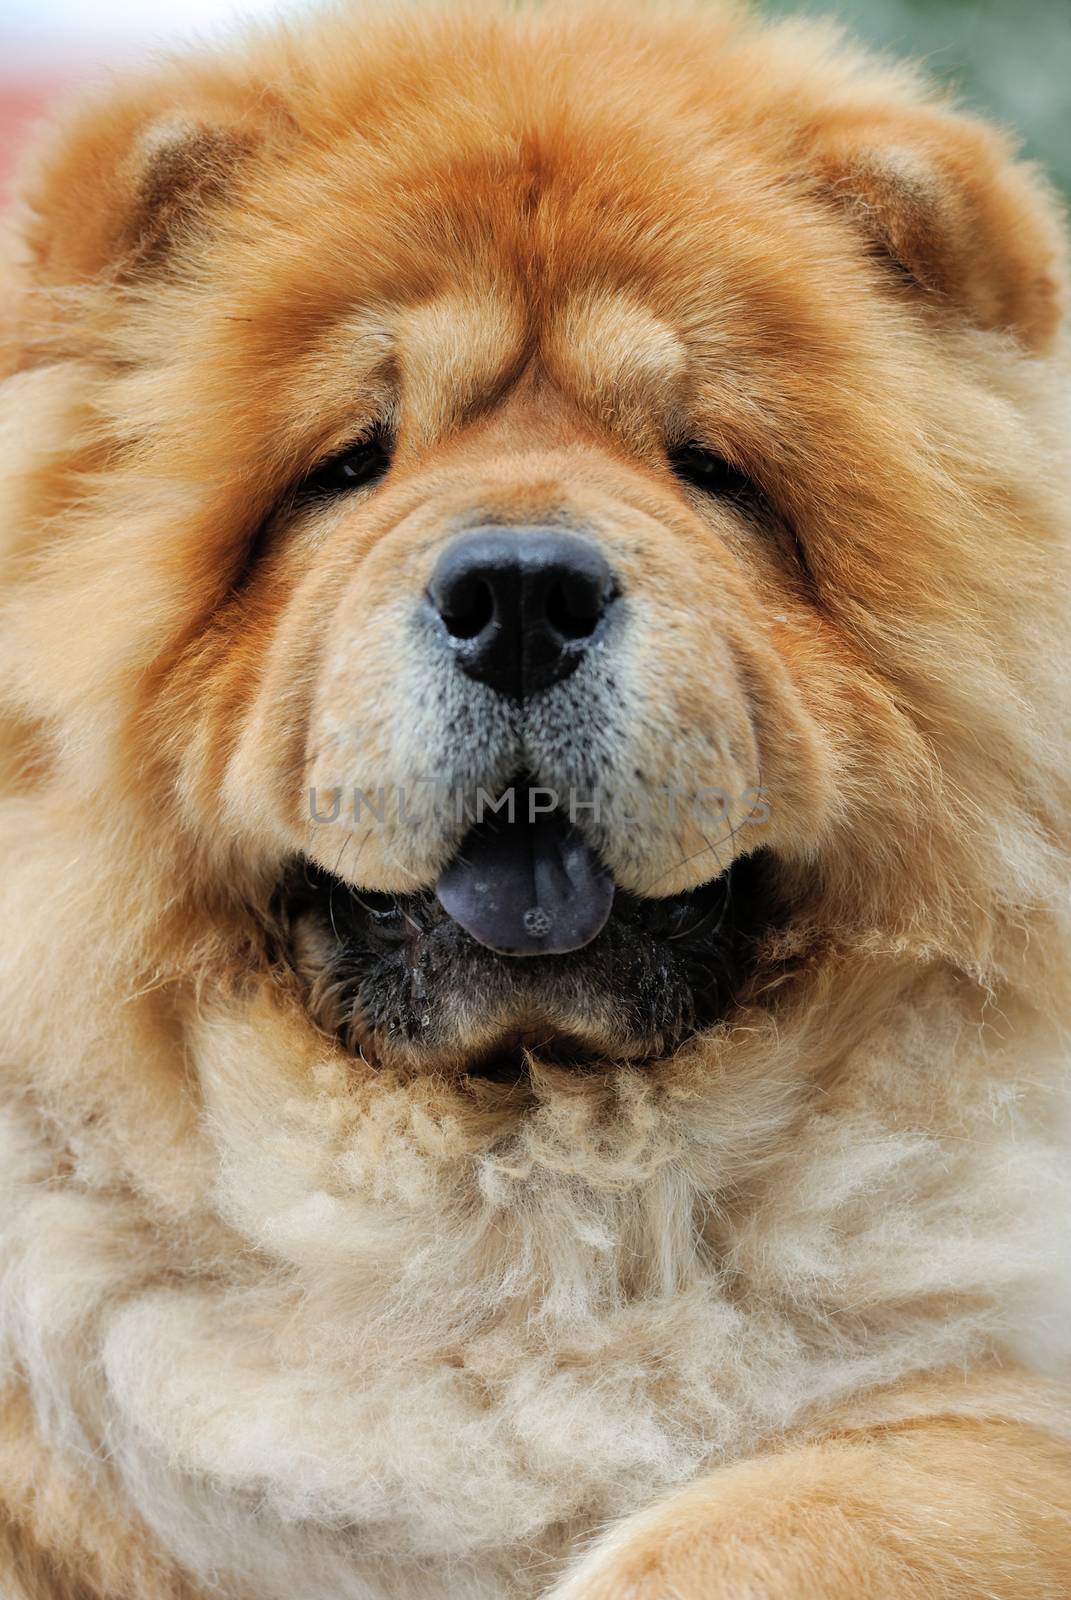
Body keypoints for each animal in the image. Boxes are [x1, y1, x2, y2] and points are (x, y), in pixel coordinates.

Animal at [2, 0, 1069, 1593]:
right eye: (348, 463)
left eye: (707, 470)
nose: (517, 595)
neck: (519, 1206)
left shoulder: (966, 1425)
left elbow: (792, 1513)